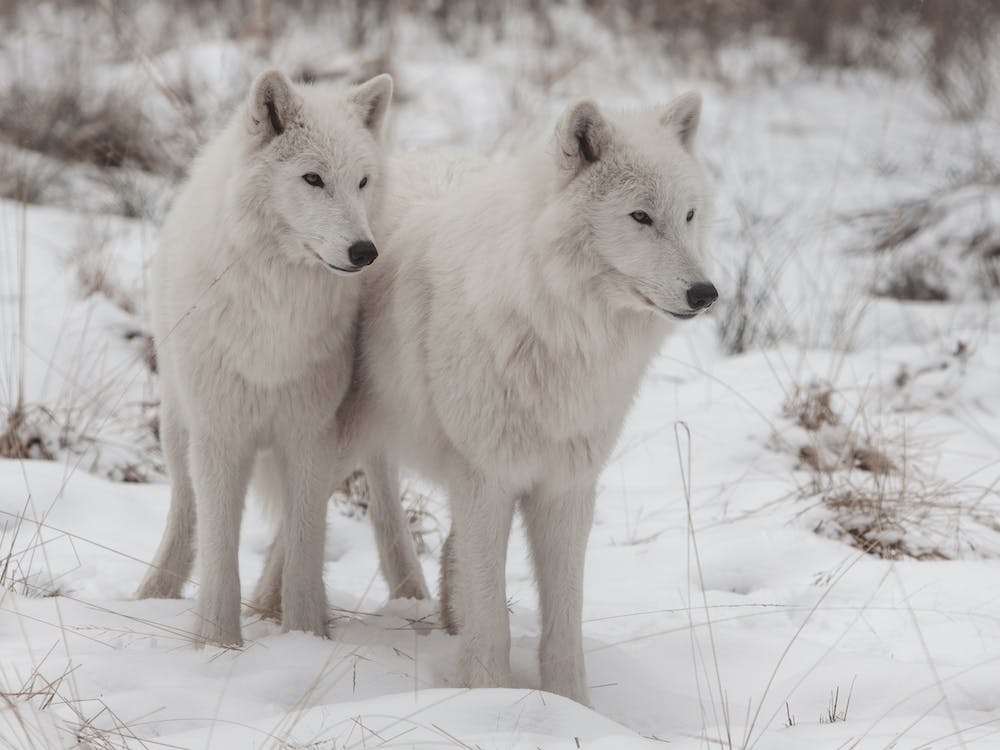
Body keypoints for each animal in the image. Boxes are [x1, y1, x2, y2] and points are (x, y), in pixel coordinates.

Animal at [134, 69, 394, 648]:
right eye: (313, 179)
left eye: (363, 182)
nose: (365, 252)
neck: (278, 312)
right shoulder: (220, 434)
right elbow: (219, 553)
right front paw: (217, 644)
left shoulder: (309, 434)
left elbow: (302, 550)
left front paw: (304, 637)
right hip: (179, 428)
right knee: (184, 516)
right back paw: (152, 595)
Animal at [322, 92, 716, 704]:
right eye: (641, 217)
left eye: (690, 215)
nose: (706, 293)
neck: (559, 329)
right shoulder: (486, 479)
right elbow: (492, 618)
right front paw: (489, 696)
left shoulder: (566, 488)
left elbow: (563, 624)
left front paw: (573, 707)